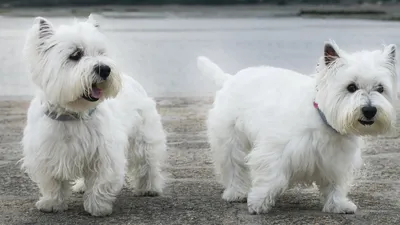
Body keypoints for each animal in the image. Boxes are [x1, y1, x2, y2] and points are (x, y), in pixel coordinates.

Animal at [20, 14, 166, 216]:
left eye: (101, 52)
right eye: (75, 55)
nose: (105, 69)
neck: (73, 113)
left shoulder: (104, 153)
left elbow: (101, 182)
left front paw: (98, 207)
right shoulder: (47, 153)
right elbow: (53, 182)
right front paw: (51, 203)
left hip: (144, 138)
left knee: (148, 163)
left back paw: (149, 188)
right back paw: (81, 186)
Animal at [197, 41, 396, 214]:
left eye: (380, 88)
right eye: (351, 87)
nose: (370, 110)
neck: (322, 118)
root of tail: (229, 79)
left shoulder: (336, 160)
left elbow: (335, 184)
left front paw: (338, 205)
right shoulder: (275, 152)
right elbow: (271, 178)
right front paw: (258, 203)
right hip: (229, 140)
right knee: (233, 166)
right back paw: (235, 193)